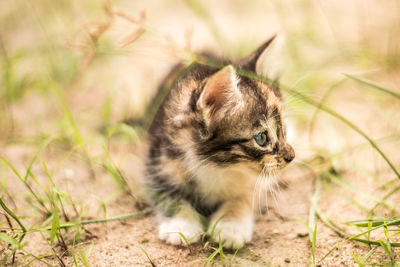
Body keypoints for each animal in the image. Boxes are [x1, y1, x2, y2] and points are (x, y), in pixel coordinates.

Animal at [144, 36, 294, 250]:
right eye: (261, 138)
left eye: (283, 130)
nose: (292, 156)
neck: (218, 166)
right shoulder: (159, 159)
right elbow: (167, 193)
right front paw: (181, 225)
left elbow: (244, 196)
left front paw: (231, 225)